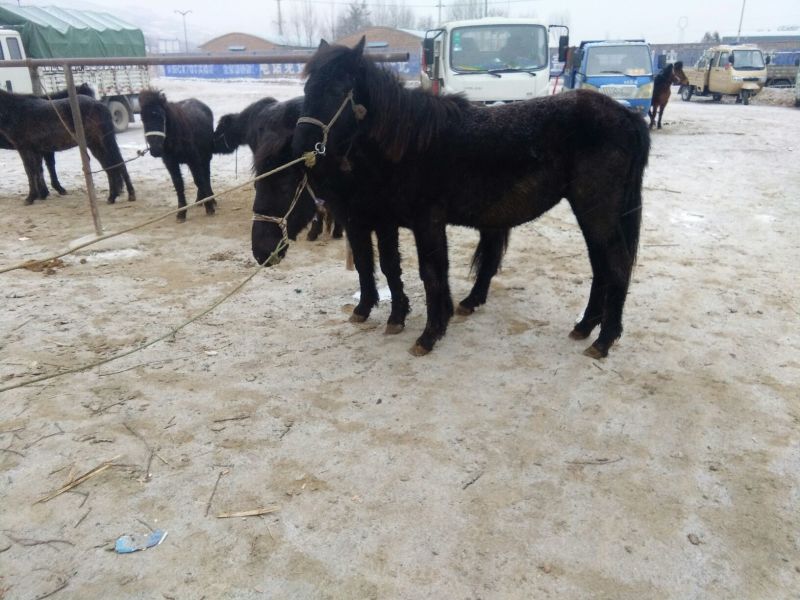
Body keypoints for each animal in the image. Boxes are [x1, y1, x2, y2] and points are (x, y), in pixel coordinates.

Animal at [0, 88, 135, 205]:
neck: (16, 111)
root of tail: (101, 106)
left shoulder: (25, 149)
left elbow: (30, 172)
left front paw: (30, 198)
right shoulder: (36, 150)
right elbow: (38, 171)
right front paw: (41, 195)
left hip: (97, 143)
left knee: (110, 166)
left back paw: (113, 196)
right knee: (116, 164)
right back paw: (126, 195)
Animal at [139, 89, 216, 221]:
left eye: (161, 116)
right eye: (143, 119)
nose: (155, 149)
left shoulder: (193, 159)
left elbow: (199, 180)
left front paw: (209, 206)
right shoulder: (171, 163)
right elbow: (178, 184)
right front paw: (181, 213)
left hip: (206, 156)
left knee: (206, 176)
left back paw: (210, 198)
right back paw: (200, 200)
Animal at [292, 39, 650, 358]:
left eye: (336, 91)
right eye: (308, 89)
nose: (303, 146)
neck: (411, 142)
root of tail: (626, 116)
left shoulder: (425, 222)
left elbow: (431, 273)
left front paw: (430, 335)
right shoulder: (389, 221)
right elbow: (406, 268)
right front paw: (424, 322)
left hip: (596, 211)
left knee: (616, 265)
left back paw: (603, 340)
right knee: (601, 266)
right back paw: (585, 327)